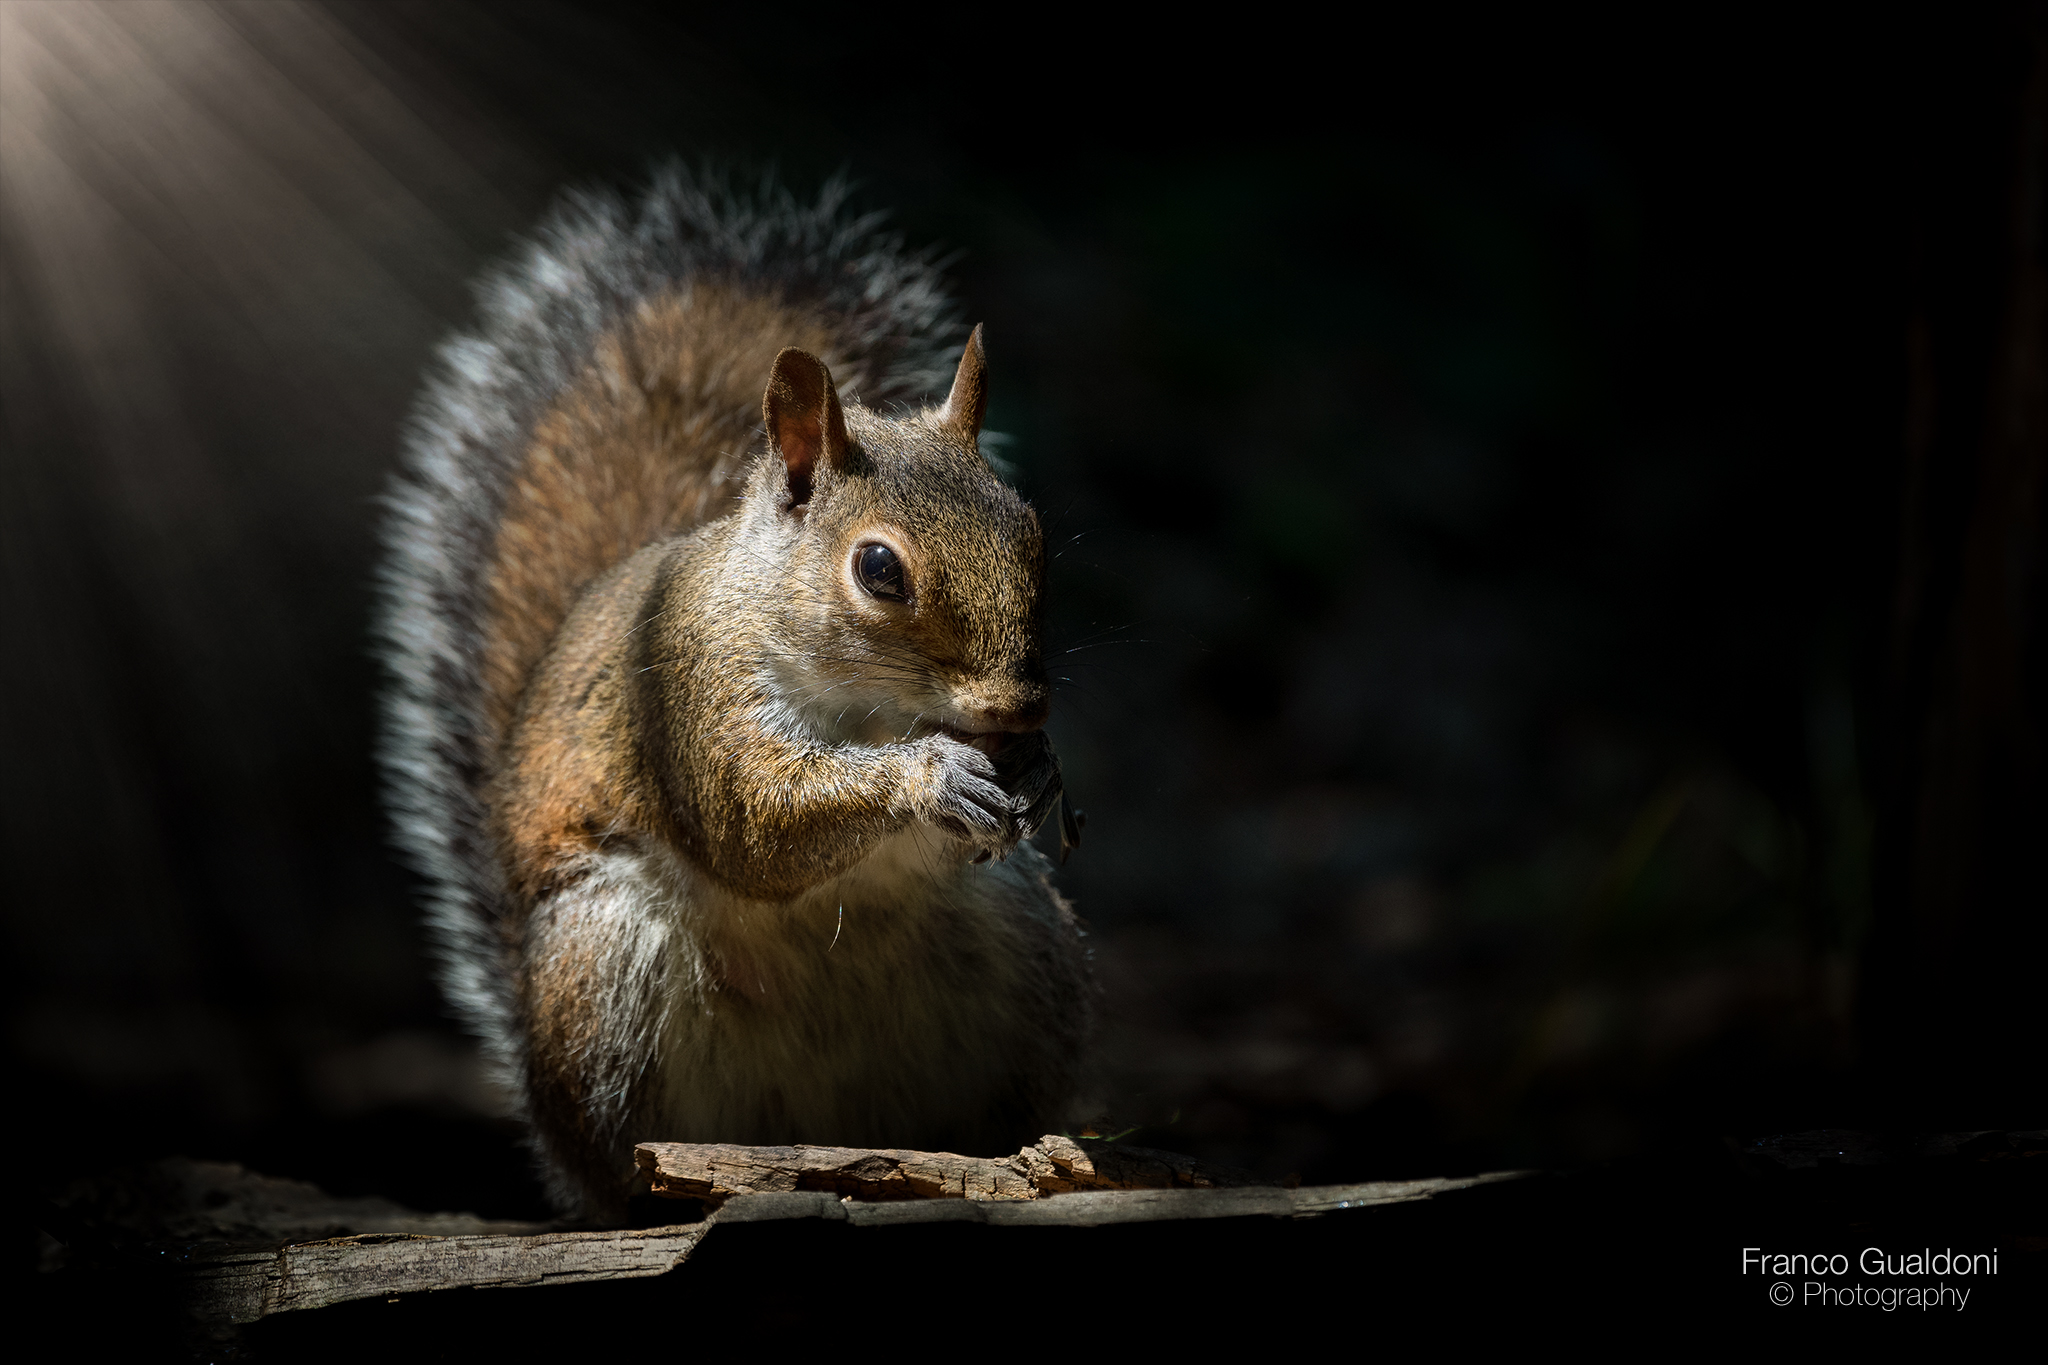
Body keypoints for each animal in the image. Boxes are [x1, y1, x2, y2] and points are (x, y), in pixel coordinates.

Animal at [377, 169, 1093, 1220]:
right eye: (879, 569)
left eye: (1031, 532)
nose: (1019, 710)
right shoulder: (688, 693)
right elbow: (753, 819)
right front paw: (930, 776)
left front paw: (1036, 771)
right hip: (605, 975)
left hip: (1024, 957)